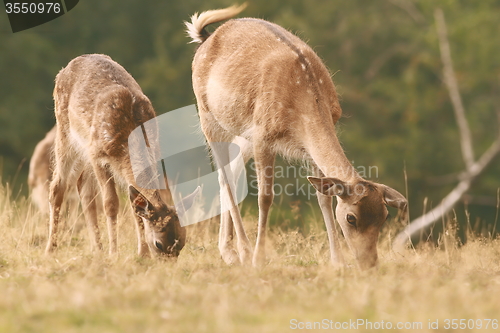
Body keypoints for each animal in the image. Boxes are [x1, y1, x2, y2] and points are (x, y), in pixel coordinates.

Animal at [46, 54, 196, 255]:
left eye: (182, 243)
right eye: (159, 243)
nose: (165, 261)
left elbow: (135, 206)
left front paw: (142, 254)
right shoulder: (98, 155)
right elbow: (110, 203)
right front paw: (114, 253)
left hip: (83, 148)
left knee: (84, 189)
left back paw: (97, 249)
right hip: (66, 132)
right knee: (58, 186)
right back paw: (50, 249)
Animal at [186, 3, 408, 268]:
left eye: (384, 216)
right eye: (351, 218)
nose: (369, 262)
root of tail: (205, 38)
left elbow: (323, 197)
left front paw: (337, 262)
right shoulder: (263, 135)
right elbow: (265, 197)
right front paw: (258, 259)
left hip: (242, 135)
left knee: (229, 172)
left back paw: (228, 252)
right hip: (208, 116)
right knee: (225, 176)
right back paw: (242, 252)